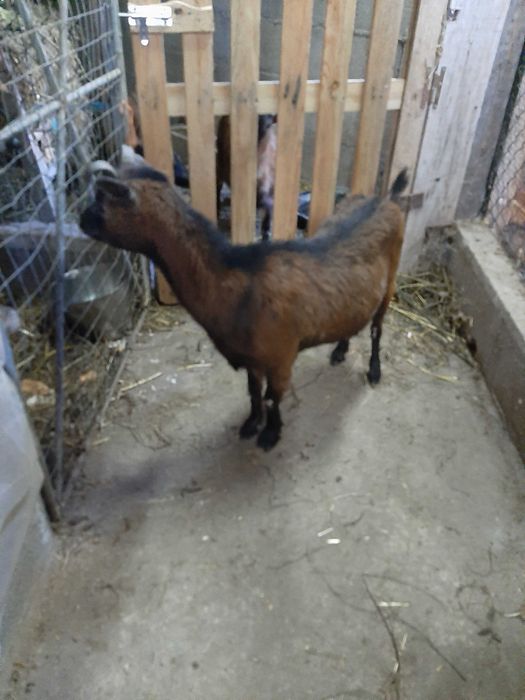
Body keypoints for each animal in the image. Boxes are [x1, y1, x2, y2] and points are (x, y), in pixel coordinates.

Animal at [80, 164, 408, 450]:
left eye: (102, 200)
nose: (81, 219)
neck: (237, 283)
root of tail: (386, 198)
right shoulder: (253, 359)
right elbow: (253, 393)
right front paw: (251, 424)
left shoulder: (280, 357)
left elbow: (272, 397)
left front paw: (270, 435)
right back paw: (339, 350)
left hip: (390, 282)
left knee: (377, 328)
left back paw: (374, 371)